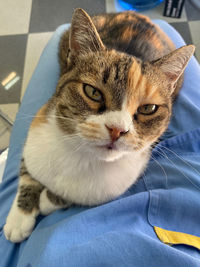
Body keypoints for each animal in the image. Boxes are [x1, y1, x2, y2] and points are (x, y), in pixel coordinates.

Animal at [3, 7, 195, 243]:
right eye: (92, 92)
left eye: (148, 108)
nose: (117, 129)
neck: (79, 156)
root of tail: (143, 17)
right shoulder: (36, 134)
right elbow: (27, 176)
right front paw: (19, 219)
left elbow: (67, 197)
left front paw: (48, 201)